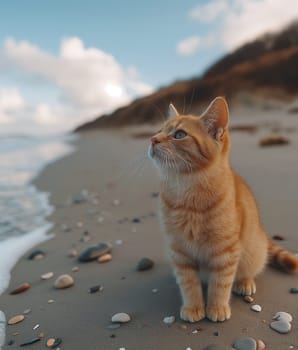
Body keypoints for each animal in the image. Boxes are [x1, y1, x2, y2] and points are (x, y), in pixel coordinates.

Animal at [148, 96, 298, 322]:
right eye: (159, 130)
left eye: (180, 135)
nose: (152, 139)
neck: (187, 193)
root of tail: (262, 232)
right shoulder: (179, 251)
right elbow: (188, 283)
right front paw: (193, 307)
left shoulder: (226, 251)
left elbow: (220, 283)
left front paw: (216, 307)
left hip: (252, 252)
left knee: (248, 271)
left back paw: (244, 282)